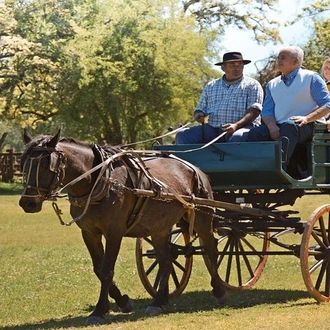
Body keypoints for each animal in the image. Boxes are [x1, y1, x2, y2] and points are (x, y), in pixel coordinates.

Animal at [18, 130, 227, 324]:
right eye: (24, 164)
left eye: (47, 165)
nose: (27, 203)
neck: (100, 181)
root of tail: (195, 168)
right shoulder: (89, 232)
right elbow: (98, 268)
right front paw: (123, 302)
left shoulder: (114, 232)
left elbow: (107, 270)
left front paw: (99, 311)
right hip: (159, 228)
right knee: (166, 259)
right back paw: (159, 301)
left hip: (202, 217)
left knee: (211, 248)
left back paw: (219, 290)